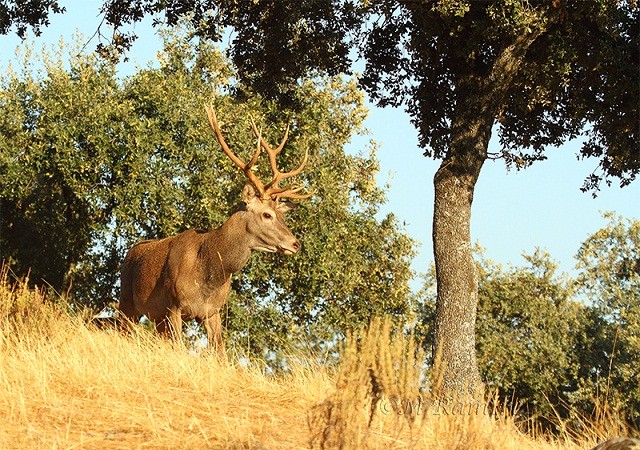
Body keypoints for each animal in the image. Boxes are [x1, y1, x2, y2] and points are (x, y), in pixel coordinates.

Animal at [120, 105, 312, 356]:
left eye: (282, 215)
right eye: (267, 214)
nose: (295, 243)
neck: (208, 277)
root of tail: (130, 253)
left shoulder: (213, 312)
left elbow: (220, 353)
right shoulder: (174, 305)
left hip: (157, 318)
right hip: (128, 301)